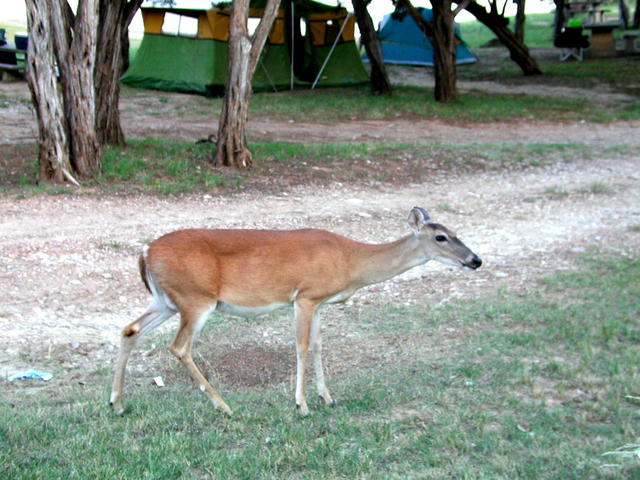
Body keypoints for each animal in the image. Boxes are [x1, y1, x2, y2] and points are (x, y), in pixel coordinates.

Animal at [110, 206, 480, 416]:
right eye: (441, 237)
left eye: (457, 232)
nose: (475, 260)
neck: (352, 262)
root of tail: (145, 251)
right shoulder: (304, 297)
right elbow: (301, 347)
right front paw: (301, 405)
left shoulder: (319, 302)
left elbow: (317, 345)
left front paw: (327, 398)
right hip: (196, 298)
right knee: (179, 347)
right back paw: (224, 406)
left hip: (166, 301)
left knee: (129, 329)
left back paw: (117, 403)